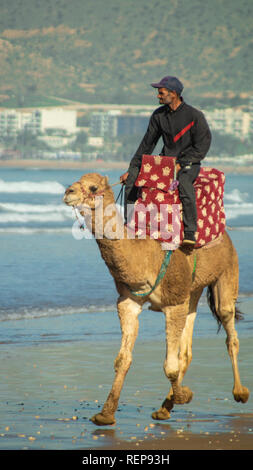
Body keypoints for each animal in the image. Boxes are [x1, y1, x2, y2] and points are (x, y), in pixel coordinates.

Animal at [63, 172, 249, 426]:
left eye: (92, 187)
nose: (68, 192)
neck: (144, 255)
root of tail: (226, 234)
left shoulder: (173, 302)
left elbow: (169, 366)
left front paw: (184, 395)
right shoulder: (129, 302)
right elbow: (123, 359)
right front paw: (105, 414)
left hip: (227, 271)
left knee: (228, 324)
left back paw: (240, 393)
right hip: (192, 291)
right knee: (187, 349)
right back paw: (164, 408)